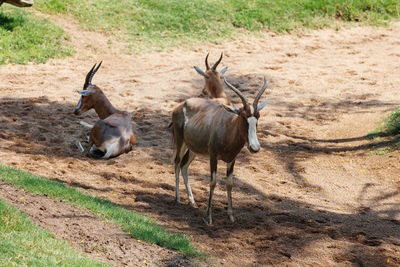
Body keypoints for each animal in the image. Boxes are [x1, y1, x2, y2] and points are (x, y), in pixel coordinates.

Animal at [171, 76, 268, 225]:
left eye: (257, 116)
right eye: (243, 116)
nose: (254, 147)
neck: (228, 126)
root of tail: (181, 105)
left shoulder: (232, 159)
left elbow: (229, 184)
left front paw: (231, 216)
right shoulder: (213, 157)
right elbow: (213, 182)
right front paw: (208, 217)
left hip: (193, 149)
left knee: (184, 165)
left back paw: (192, 202)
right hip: (180, 141)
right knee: (177, 163)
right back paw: (177, 199)